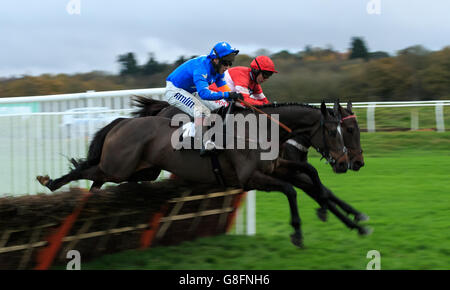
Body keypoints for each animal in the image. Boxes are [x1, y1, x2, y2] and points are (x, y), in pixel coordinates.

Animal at [38, 101, 348, 247]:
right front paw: (298, 233)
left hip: (141, 169)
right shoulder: (250, 178)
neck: (260, 129)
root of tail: (122, 121)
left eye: (345, 131)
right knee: (86, 169)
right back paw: (51, 182)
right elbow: (291, 189)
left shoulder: (275, 168)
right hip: (118, 165)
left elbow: (308, 173)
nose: (345, 163)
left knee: (98, 178)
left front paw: (327, 208)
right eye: (334, 132)